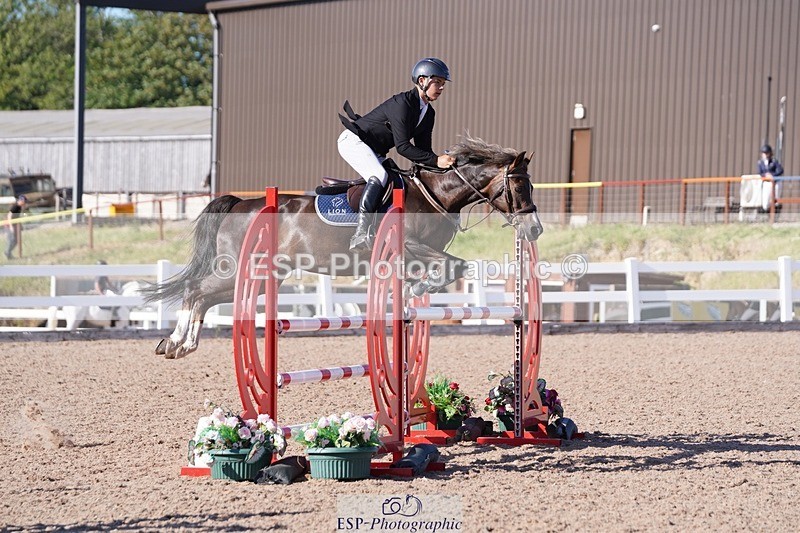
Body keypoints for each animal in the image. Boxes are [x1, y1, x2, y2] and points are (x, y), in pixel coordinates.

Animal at [142, 136, 543, 359]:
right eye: (519, 186)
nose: (535, 229)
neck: (434, 196)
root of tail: (241, 204)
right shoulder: (409, 244)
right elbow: (456, 265)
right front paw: (418, 288)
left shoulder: (413, 255)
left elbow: (448, 268)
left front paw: (413, 290)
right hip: (238, 270)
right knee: (195, 290)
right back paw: (178, 343)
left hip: (260, 277)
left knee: (204, 297)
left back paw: (177, 344)